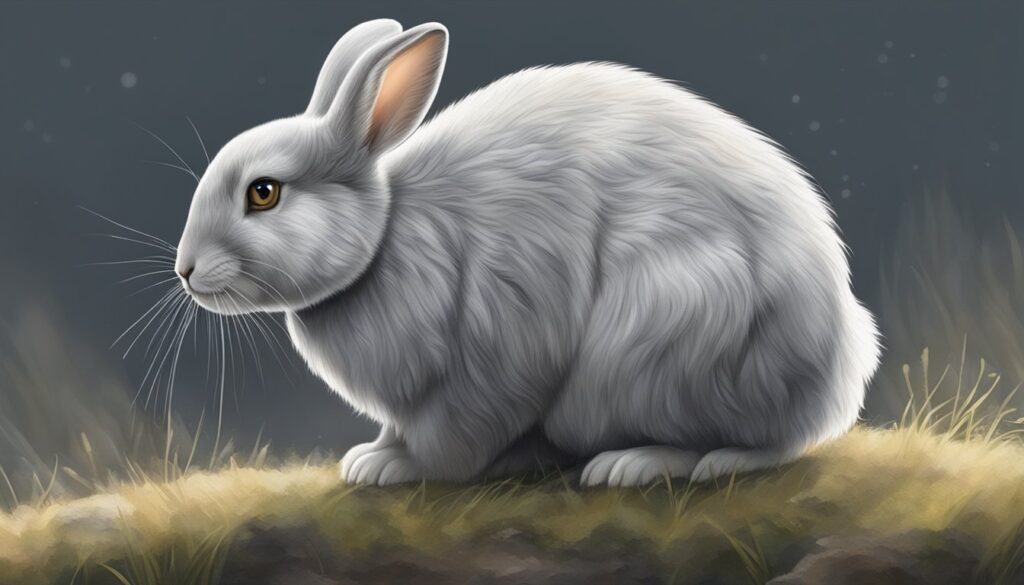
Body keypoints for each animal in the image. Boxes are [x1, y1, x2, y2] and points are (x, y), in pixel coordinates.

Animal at [174, 19, 881, 487]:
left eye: (263, 193)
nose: (184, 270)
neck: (382, 241)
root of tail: (836, 372)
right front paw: (369, 456)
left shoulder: (493, 346)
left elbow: (455, 439)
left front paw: (395, 468)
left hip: (668, 336)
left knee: (748, 445)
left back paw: (639, 464)